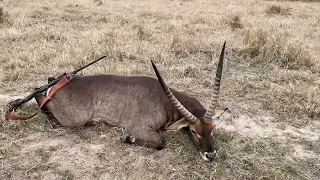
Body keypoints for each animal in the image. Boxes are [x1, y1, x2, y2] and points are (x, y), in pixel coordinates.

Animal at [34, 42, 228, 162]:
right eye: (194, 131)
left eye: (213, 129)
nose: (211, 155)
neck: (163, 99)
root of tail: (60, 82)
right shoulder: (138, 127)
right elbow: (161, 141)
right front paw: (129, 139)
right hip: (74, 119)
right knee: (40, 96)